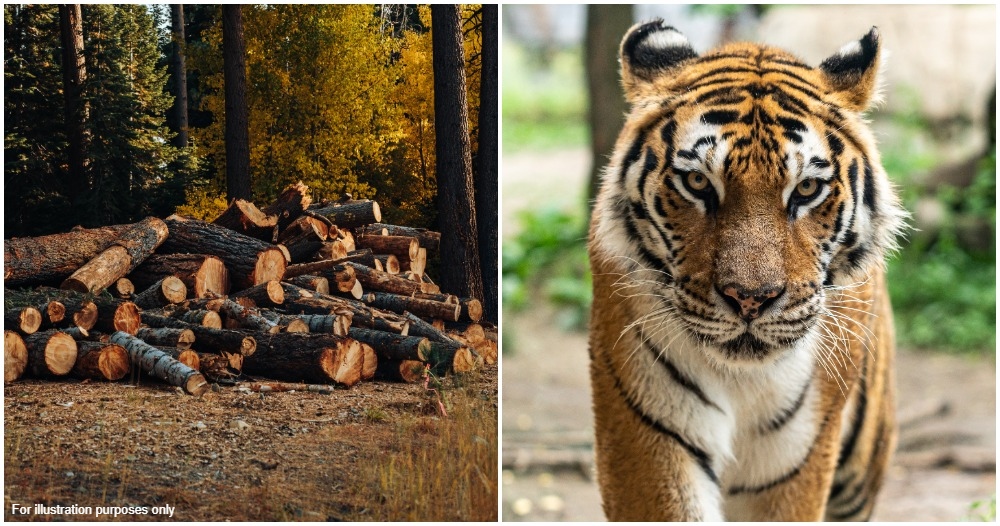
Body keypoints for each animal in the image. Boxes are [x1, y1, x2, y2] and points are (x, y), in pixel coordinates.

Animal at [587, 20, 908, 521]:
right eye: (698, 182)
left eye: (807, 189)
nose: (751, 299)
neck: (742, 378)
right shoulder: (648, 432)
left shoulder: (794, 460)